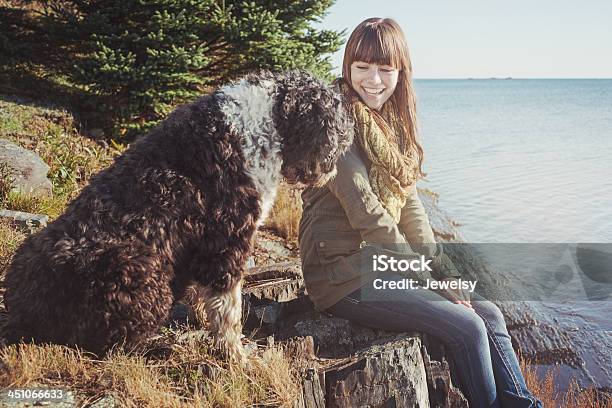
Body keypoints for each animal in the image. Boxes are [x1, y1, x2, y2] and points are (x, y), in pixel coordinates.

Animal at [3, 70, 354, 360]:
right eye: (339, 137)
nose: (332, 172)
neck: (264, 121)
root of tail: (21, 316)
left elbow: (205, 297)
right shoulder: (228, 237)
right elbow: (228, 309)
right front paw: (235, 355)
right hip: (138, 268)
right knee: (108, 348)